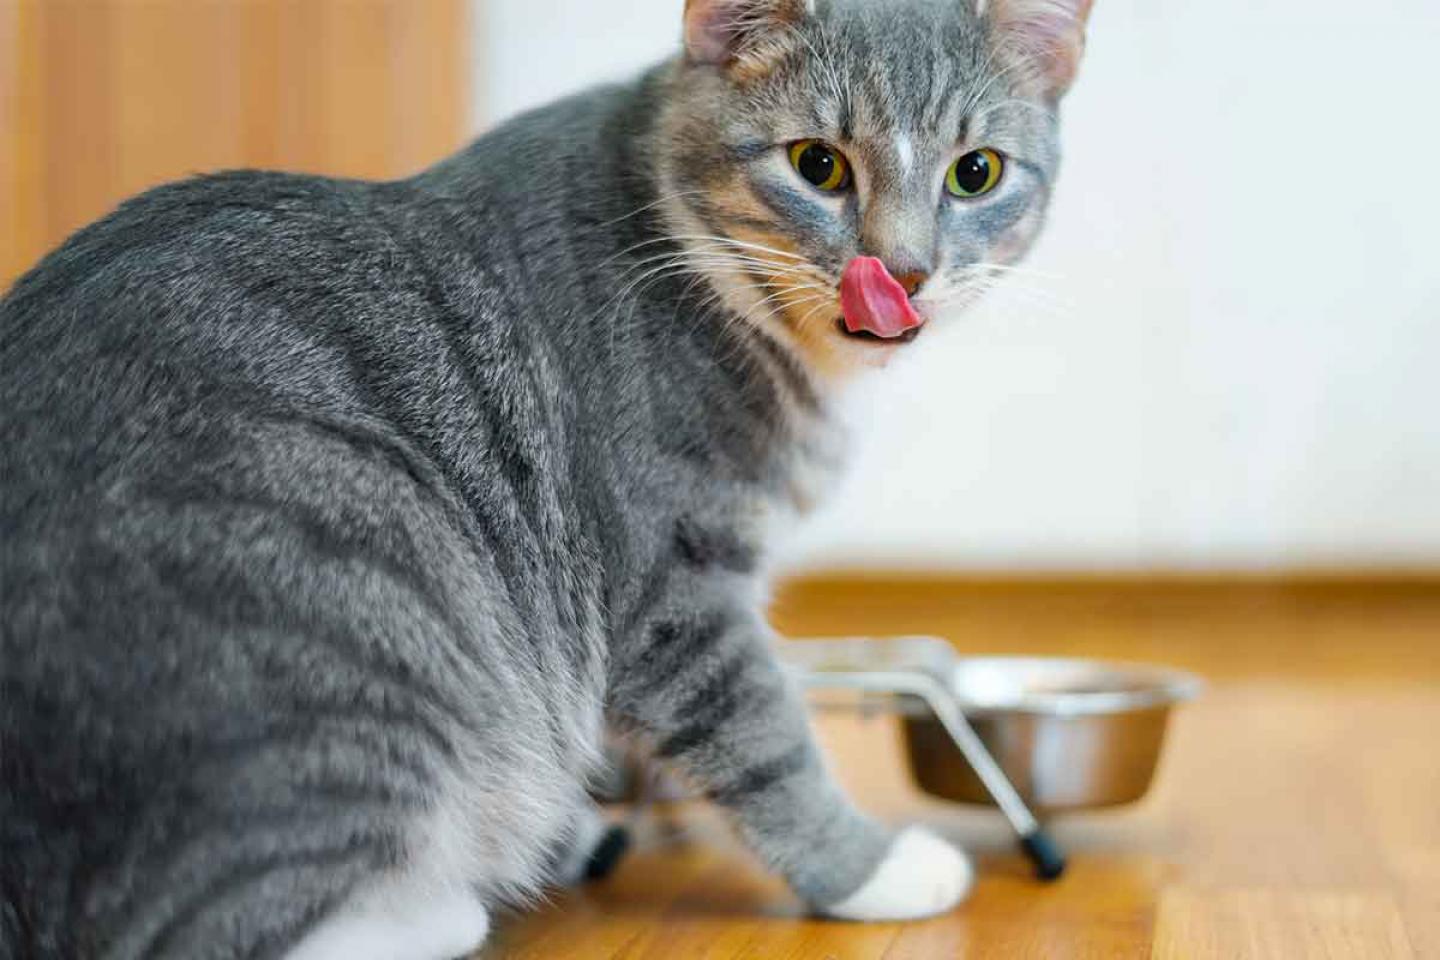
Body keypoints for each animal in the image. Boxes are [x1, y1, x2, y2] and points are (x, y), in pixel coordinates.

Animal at [0, 0, 1094, 955]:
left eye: (976, 173)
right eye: (816, 165)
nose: (902, 275)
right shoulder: (675, 588)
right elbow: (765, 737)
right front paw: (870, 869)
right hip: (356, 600)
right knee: (217, 927)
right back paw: (441, 908)